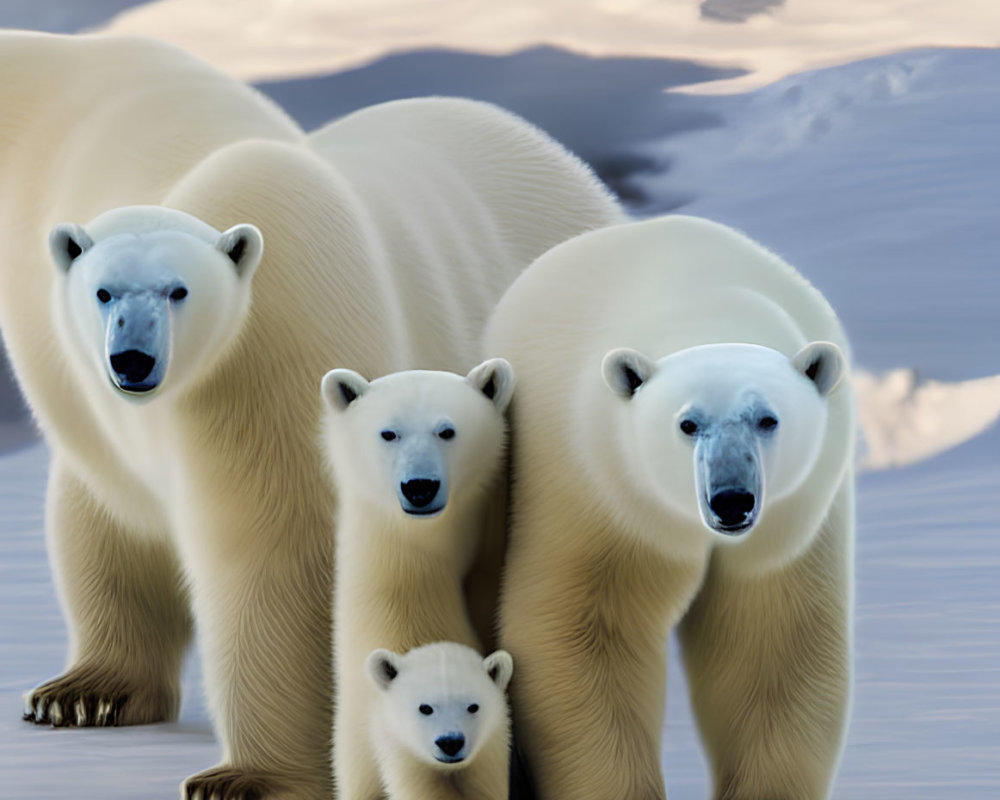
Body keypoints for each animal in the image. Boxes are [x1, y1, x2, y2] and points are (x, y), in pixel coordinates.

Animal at [480, 216, 856, 800]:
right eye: (687, 423)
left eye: (767, 418)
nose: (731, 500)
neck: (707, 306)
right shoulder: (598, 489)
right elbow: (585, 631)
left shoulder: (793, 519)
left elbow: (770, 645)